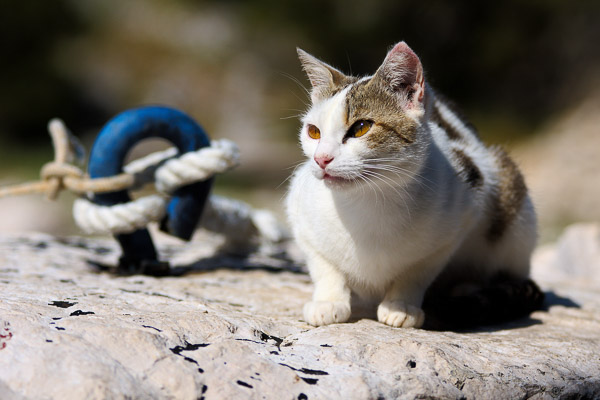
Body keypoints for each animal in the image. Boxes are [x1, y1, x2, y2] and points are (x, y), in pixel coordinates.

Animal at [286, 41, 544, 328]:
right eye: (313, 132)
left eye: (361, 127)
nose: (321, 159)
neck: (368, 200)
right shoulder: (299, 212)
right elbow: (324, 266)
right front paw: (328, 301)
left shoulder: (459, 218)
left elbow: (416, 272)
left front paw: (400, 305)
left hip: (514, 210)